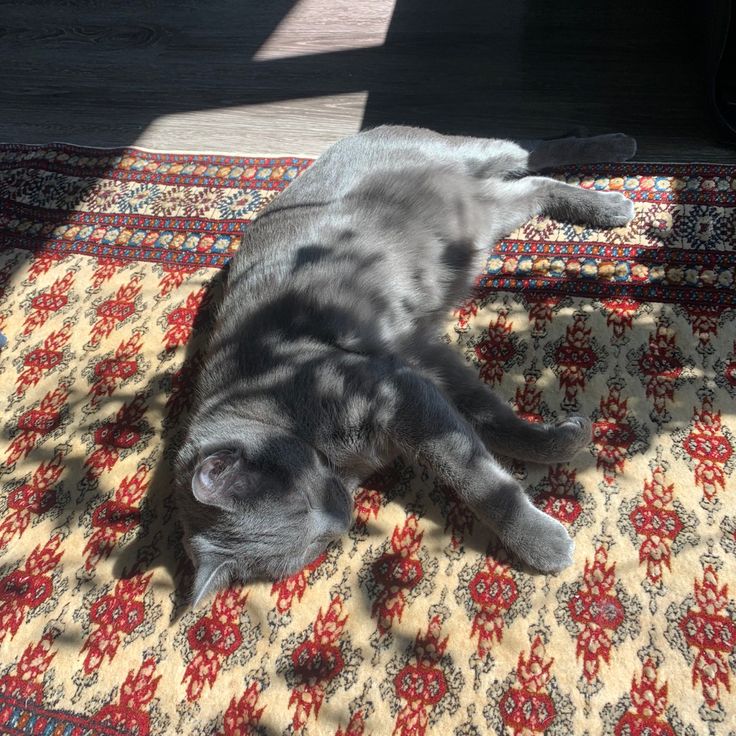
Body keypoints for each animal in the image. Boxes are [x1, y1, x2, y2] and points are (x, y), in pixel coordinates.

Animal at [175, 126, 636, 608]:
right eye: (314, 543)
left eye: (303, 498)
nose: (342, 518)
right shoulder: (422, 364)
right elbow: (489, 419)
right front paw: (564, 439)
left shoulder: (398, 393)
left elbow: (473, 473)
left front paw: (541, 538)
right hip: (485, 216)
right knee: (530, 186)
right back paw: (607, 201)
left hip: (469, 153)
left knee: (529, 152)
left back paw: (616, 165)